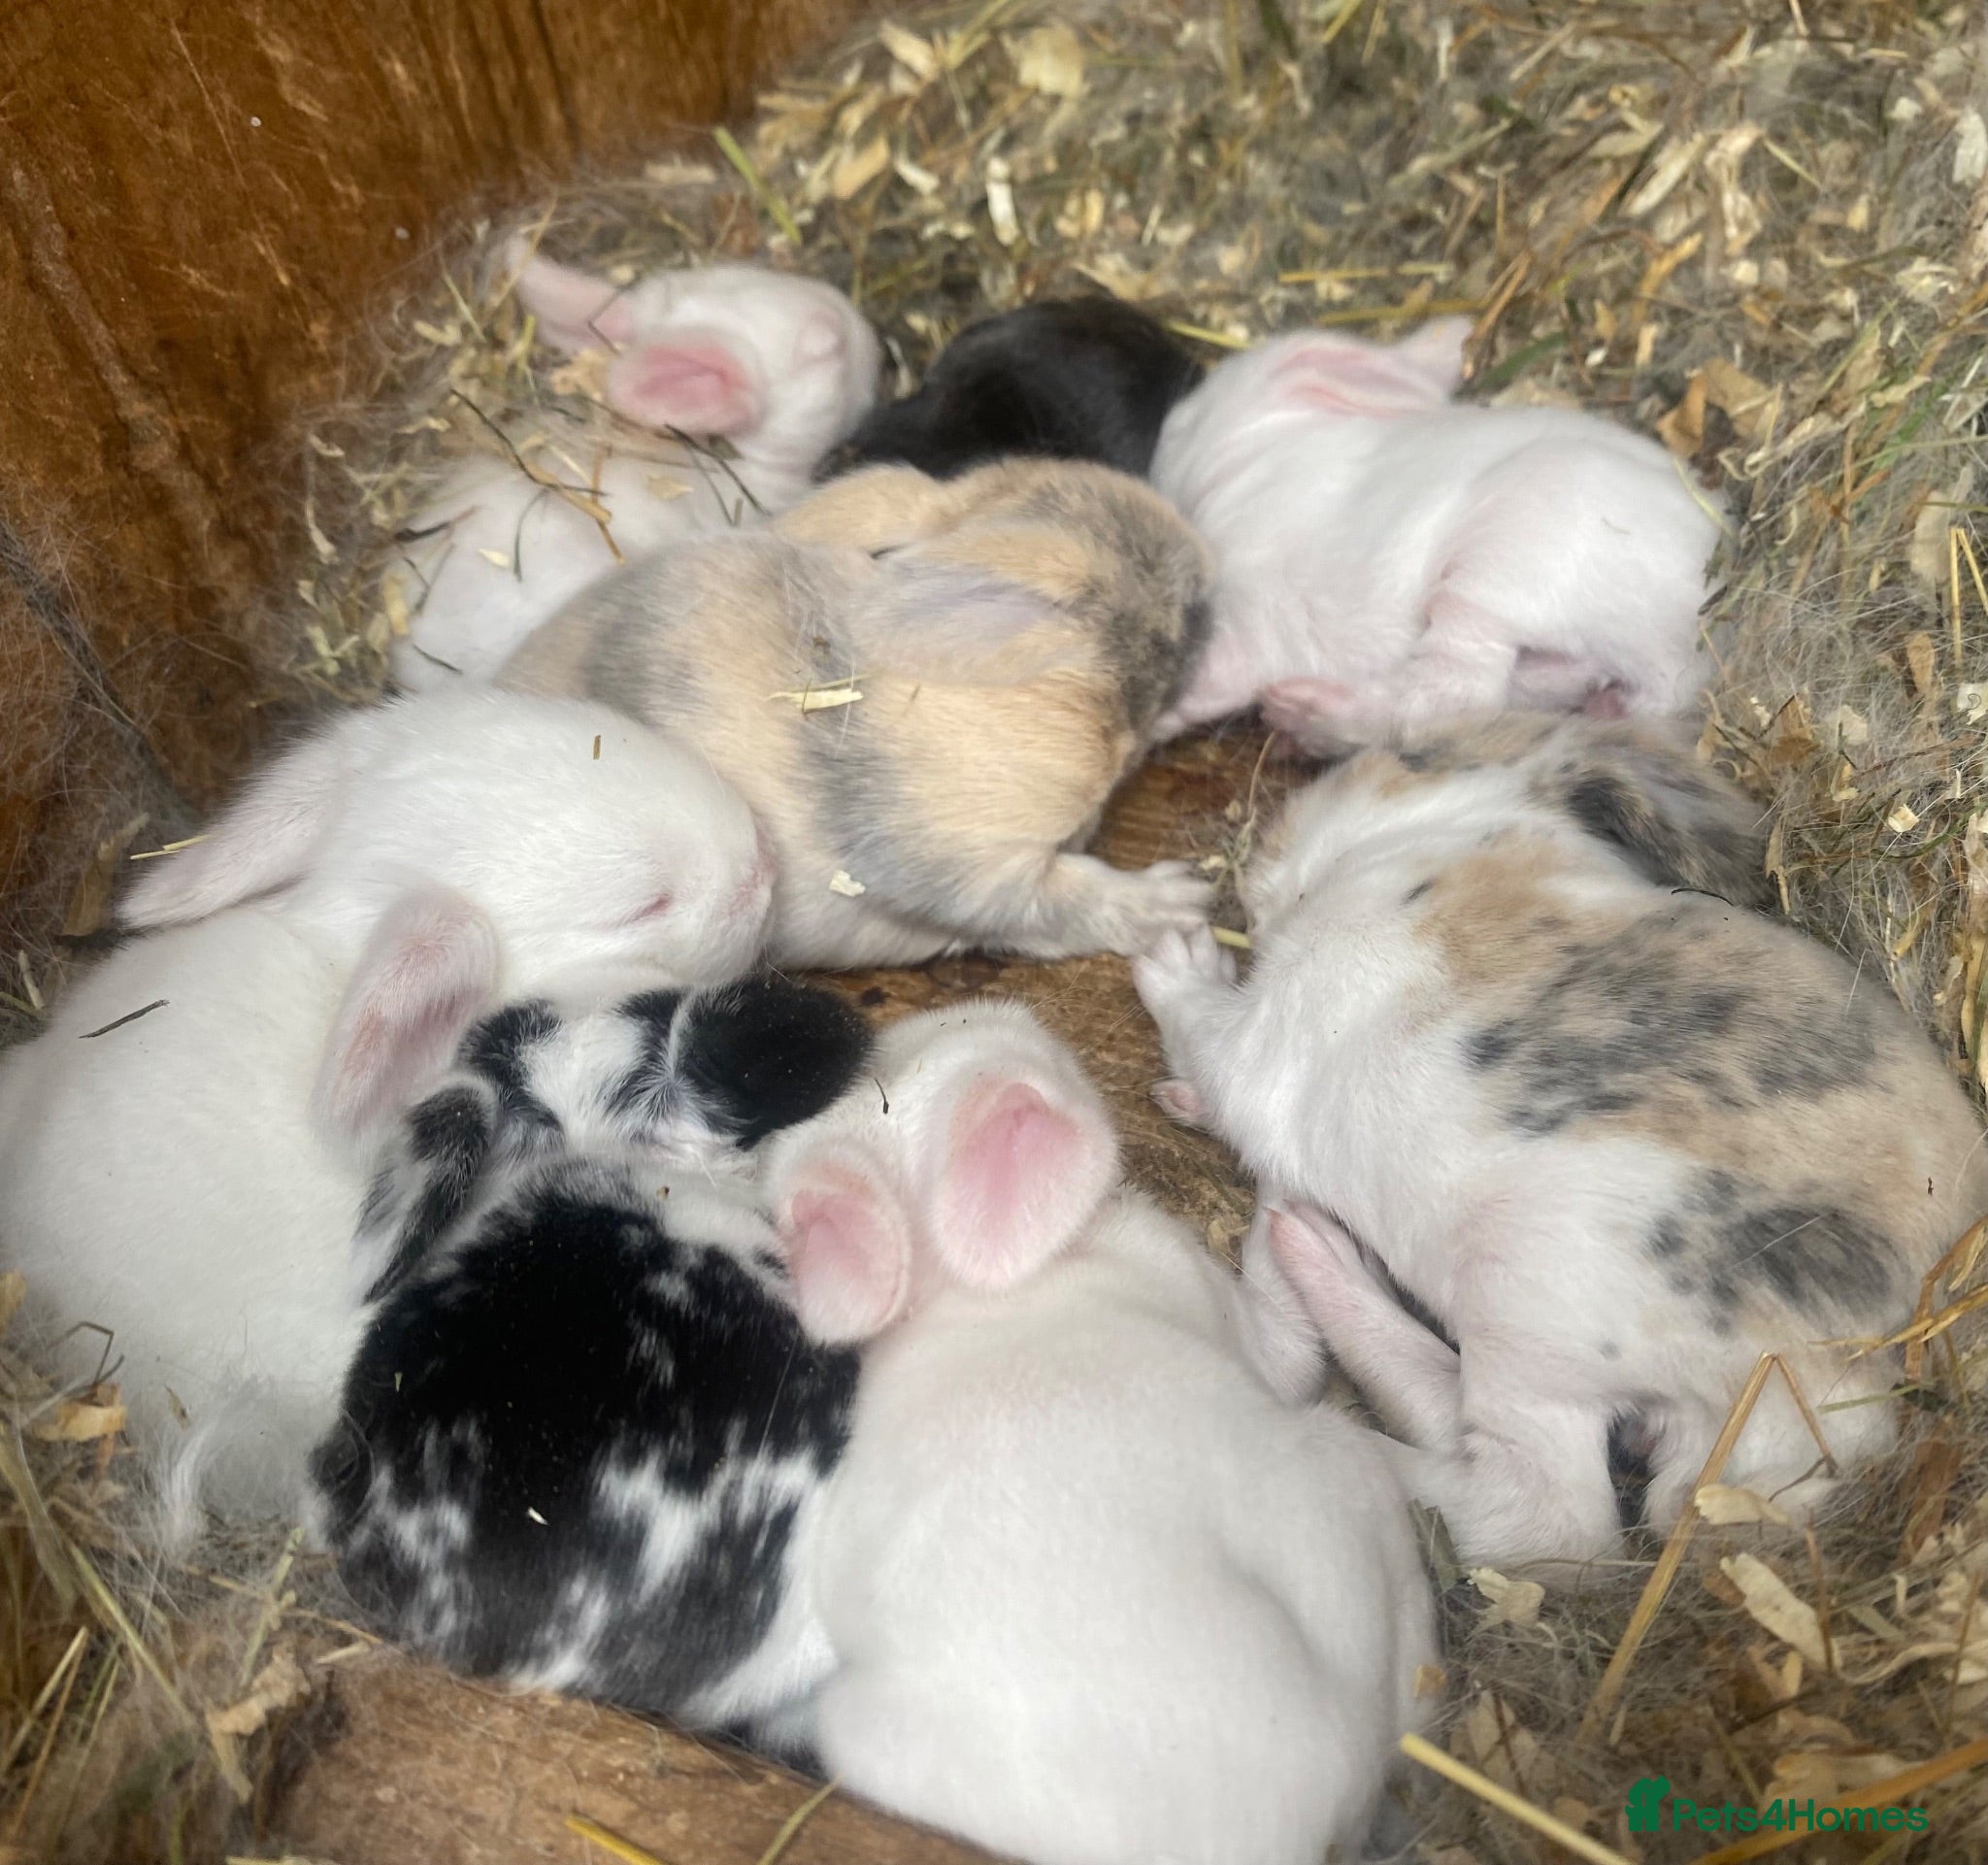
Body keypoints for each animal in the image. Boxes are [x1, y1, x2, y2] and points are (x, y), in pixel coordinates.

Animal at [764, 1000, 1437, 1865]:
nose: (1005, 1005)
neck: (971, 1290)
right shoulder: (1217, 1300)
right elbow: (1282, 1333)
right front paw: (1280, 1200)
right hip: (1352, 1486)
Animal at [1133, 712, 1988, 1579]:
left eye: (1409, 755)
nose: (1280, 822)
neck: (1426, 840)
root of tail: (1828, 1397)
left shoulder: (1265, 1026)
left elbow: (1197, 1021)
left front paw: (1172, 955)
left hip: (1527, 1306)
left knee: (1548, 1523)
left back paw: (1319, 1298)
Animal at [1146, 318, 1721, 747]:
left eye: (1183, 417)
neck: (1248, 457)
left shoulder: (1256, 588)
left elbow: (1218, 668)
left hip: (1500, 564)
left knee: (1454, 694)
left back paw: (1295, 710)